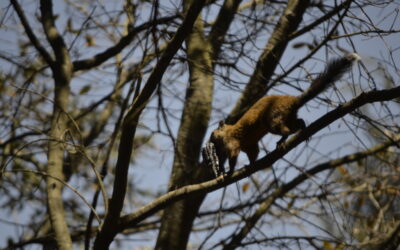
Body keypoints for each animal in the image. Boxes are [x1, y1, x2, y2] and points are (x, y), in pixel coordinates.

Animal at [208, 52, 360, 174]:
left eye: (213, 132)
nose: (209, 140)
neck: (228, 132)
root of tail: (293, 102)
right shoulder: (250, 145)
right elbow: (253, 154)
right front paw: (248, 165)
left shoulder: (233, 143)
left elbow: (234, 156)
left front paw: (229, 172)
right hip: (288, 118)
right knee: (297, 123)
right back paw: (303, 128)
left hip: (273, 120)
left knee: (285, 130)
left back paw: (282, 140)